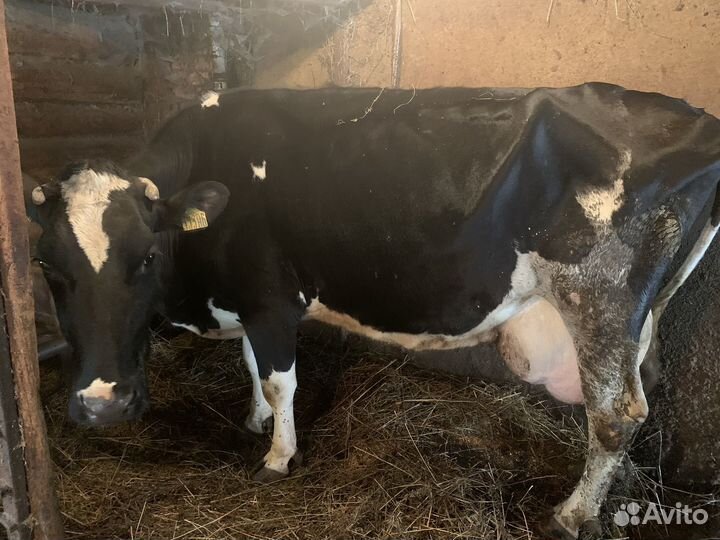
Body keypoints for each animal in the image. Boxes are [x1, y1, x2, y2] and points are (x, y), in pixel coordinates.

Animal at [27, 83, 720, 538]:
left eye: (145, 258)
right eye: (47, 270)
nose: (101, 404)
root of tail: (695, 120)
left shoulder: (272, 296)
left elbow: (279, 380)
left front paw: (277, 456)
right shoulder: (249, 300)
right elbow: (253, 365)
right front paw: (254, 421)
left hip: (599, 297)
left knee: (616, 413)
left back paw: (572, 515)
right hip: (641, 313)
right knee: (643, 389)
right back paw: (617, 492)